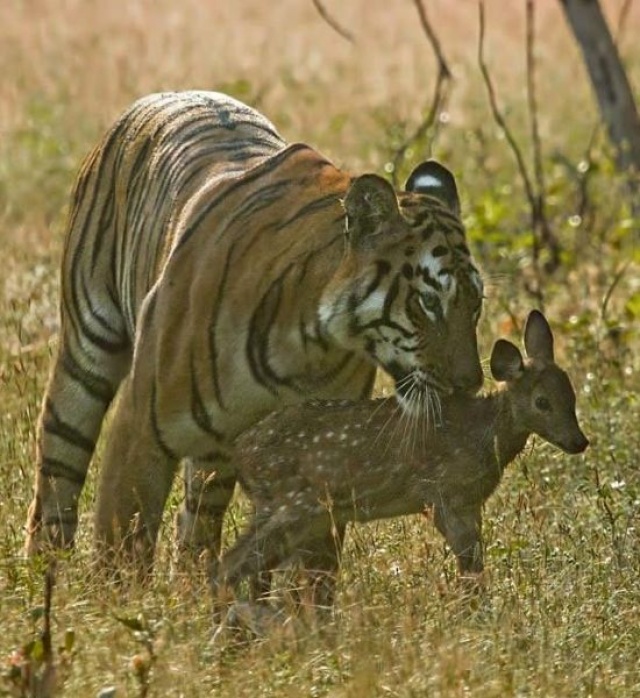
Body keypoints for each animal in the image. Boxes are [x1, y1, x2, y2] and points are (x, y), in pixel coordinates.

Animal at [25, 89, 484, 572]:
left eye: (476, 303)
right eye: (428, 302)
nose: (469, 384)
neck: (309, 343)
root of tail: (165, 95)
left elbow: (315, 564)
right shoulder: (140, 426)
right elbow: (123, 543)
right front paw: (114, 594)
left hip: (215, 451)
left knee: (197, 521)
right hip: (85, 356)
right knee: (57, 476)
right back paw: (43, 573)